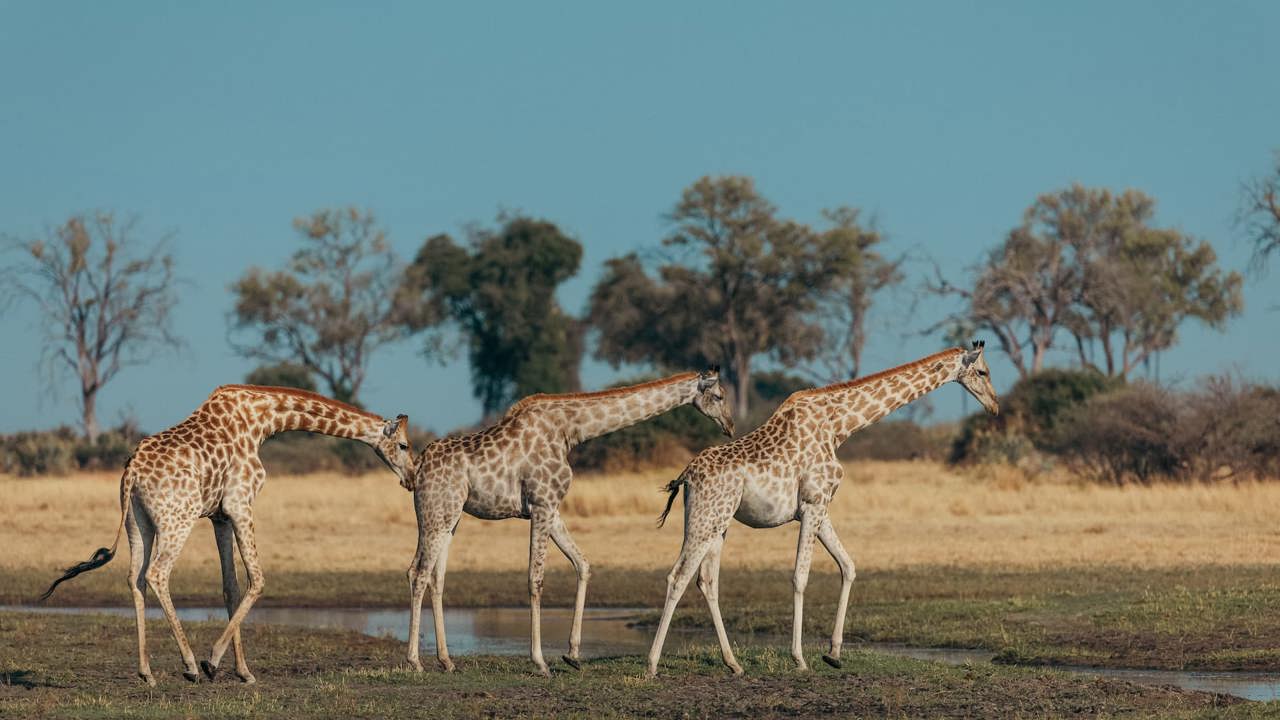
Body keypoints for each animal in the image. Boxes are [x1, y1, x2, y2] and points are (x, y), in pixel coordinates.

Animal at [40, 384, 415, 686]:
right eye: (404, 445)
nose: (411, 479)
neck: (264, 420)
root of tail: (131, 470)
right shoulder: (241, 503)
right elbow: (258, 579)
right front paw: (213, 662)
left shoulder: (219, 517)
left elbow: (230, 587)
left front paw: (243, 671)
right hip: (178, 519)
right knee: (158, 574)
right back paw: (190, 665)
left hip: (138, 522)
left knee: (135, 578)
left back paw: (146, 673)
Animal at [405, 368, 734, 676]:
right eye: (719, 396)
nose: (730, 426)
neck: (569, 431)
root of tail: (417, 468)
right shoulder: (542, 504)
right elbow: (535, 579)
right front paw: (540, 662)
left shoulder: (551, 509)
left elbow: (583, 565)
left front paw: (573, 654)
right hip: (437, 514)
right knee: (419, 573)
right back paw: (415, 661)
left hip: (449, 518)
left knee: (433, 577)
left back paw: (446, 661)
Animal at [644, 342, 1000, 678]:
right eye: (983, 372)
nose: (995, 405)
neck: (839, 426)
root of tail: (686, 475)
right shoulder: (813, 504)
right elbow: (800, 576)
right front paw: (800, 659)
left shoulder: (820, 508)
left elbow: (849, 566)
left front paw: (834, 653)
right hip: (706, 520)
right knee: (678, 577)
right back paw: (652, 665)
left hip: (718, 522)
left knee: (706, 581)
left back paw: (733, 664)